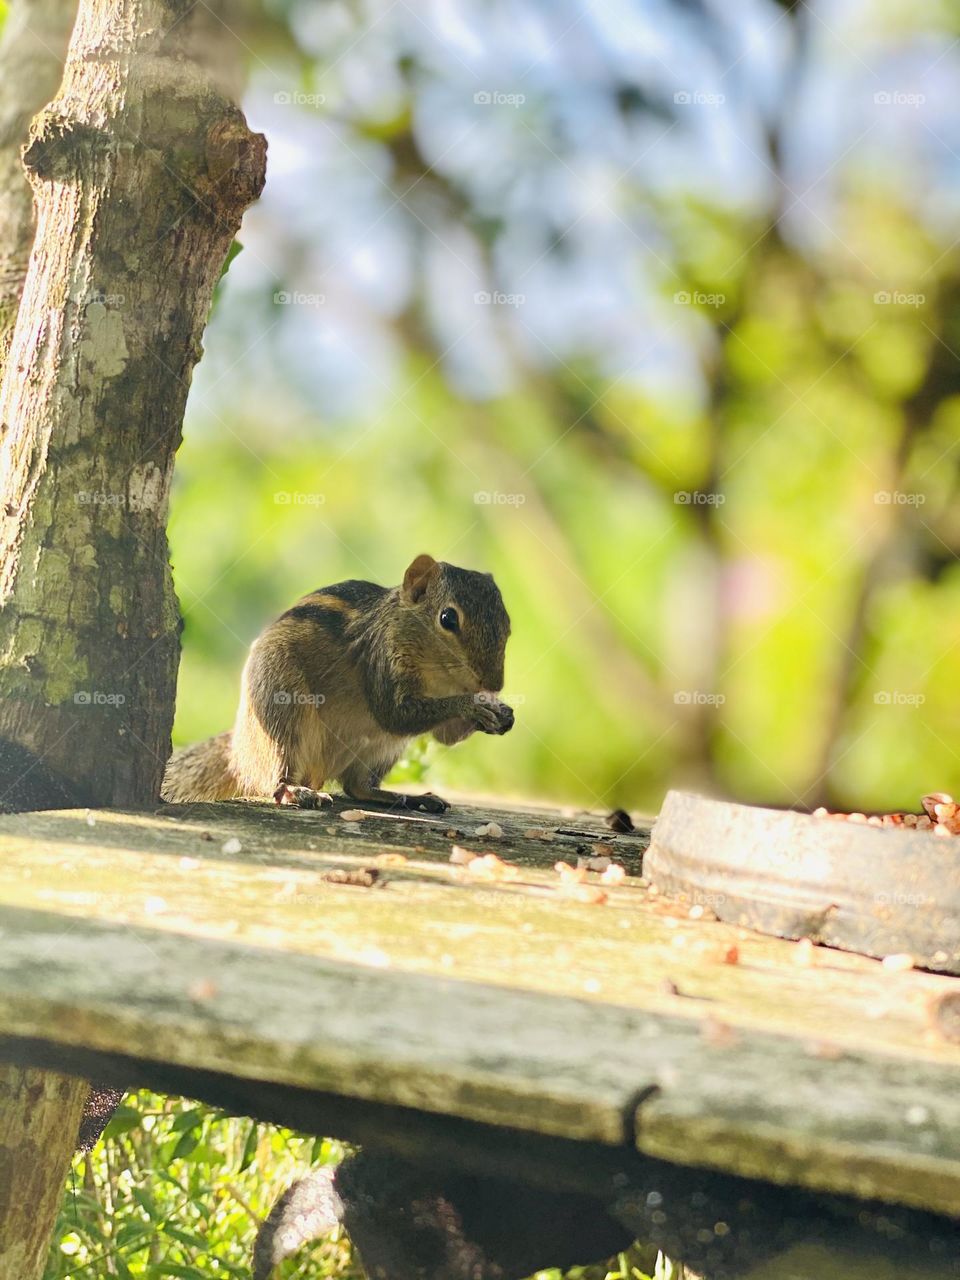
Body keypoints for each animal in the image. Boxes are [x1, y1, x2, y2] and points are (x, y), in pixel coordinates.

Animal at [161, 554, 514, 813]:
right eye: (447, 619)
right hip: (281, 710)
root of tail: (238, 749)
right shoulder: (380, 659)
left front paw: (502, 714)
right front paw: (474, 706)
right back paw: (295, 791)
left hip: (382, 752)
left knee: (357, 787)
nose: (494, 683)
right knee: (274, 776)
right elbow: (395, 715)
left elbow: (446, 736)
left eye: (508, 625)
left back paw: (409, 798)